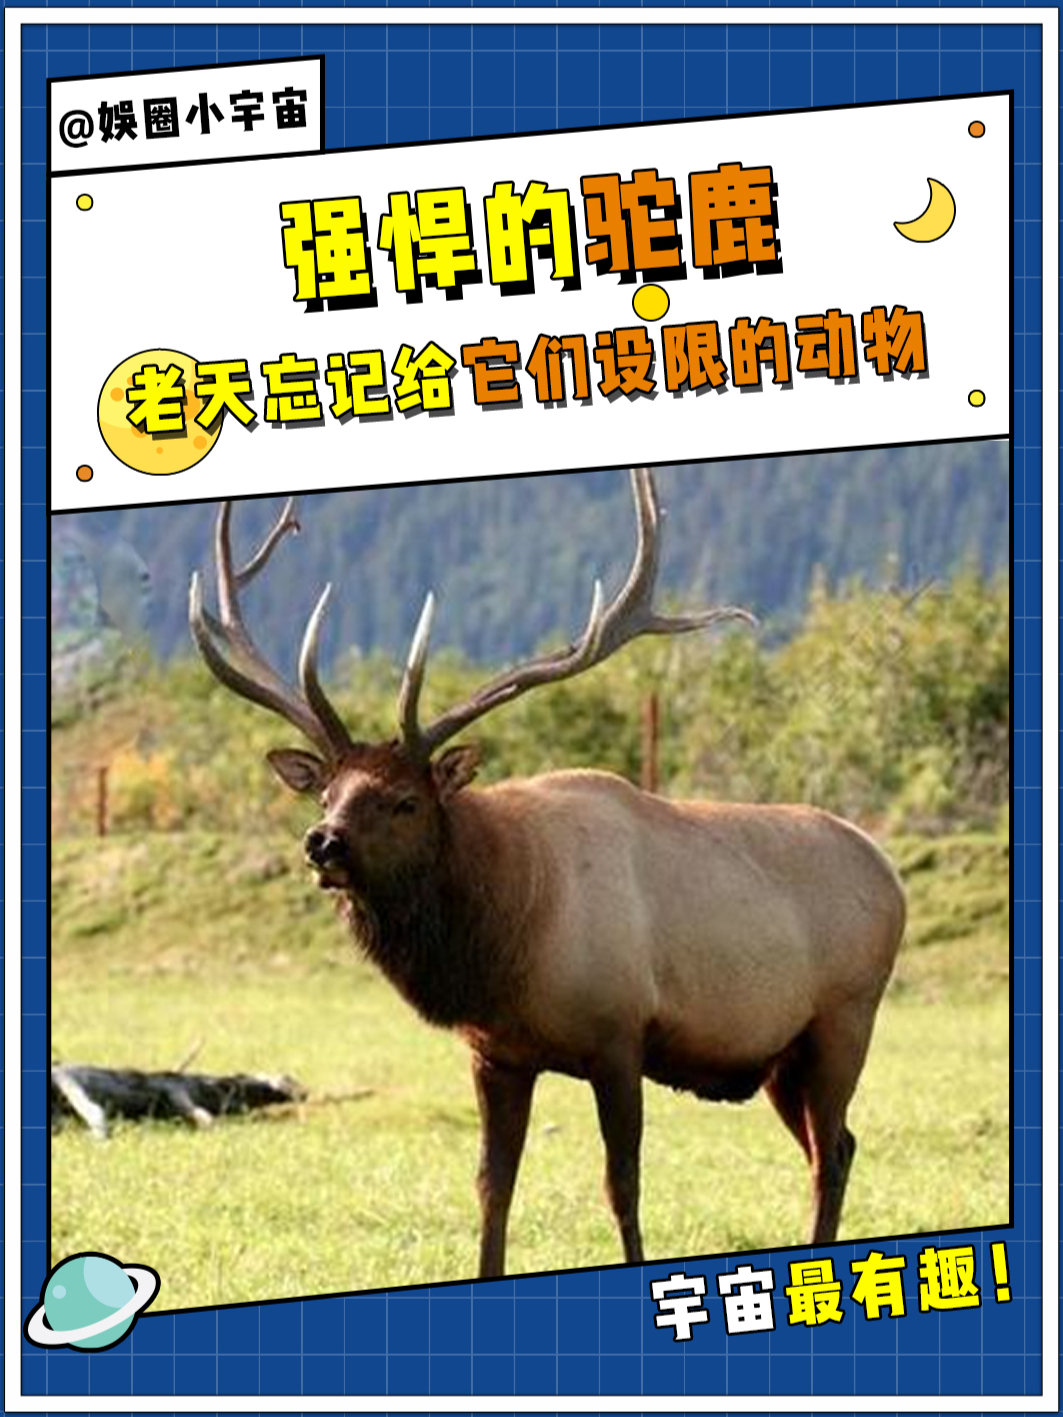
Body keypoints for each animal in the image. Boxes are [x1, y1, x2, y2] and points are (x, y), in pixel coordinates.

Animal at [189, 469, 906, 1278]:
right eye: (325, 792)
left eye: (405, 800)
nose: (322, 842)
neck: (509, 938)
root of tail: (890, 872)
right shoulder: (495, 1053)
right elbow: (491, 1184)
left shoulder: (620, 1034)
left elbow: (621, 1183)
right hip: (783, 1057)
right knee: (835, 1144)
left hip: (845, 1017)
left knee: (832, 1151)